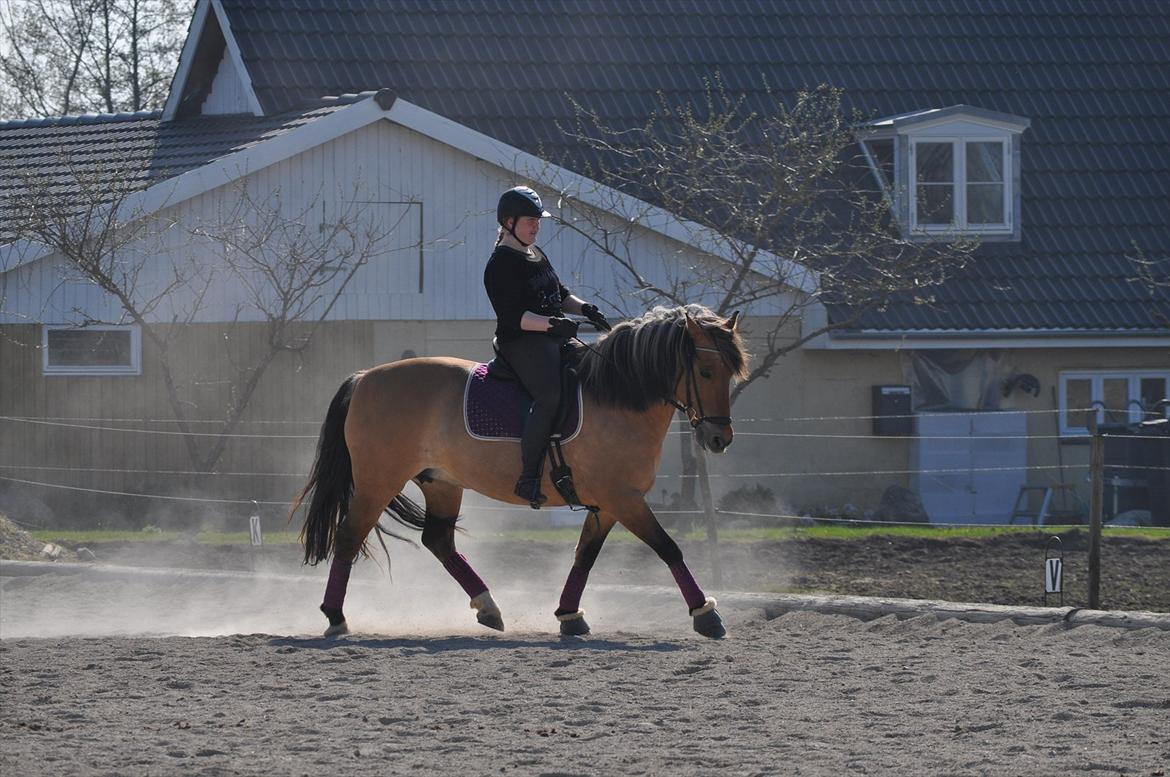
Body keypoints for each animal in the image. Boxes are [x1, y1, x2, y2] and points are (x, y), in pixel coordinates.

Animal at [292, 306, 748, 641]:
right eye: (706, 372)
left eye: (730, 373)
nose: (719, 438)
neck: (616, 398)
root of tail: (365, 378)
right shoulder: (623, 498)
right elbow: (668, 547)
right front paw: (705, 614)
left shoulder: (607, 504)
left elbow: (584, 556)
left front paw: (569, 616)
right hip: (377, 482)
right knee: (349, 537)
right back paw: (335, 618)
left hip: (441, 483)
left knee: (438, 541)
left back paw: (488, 608)